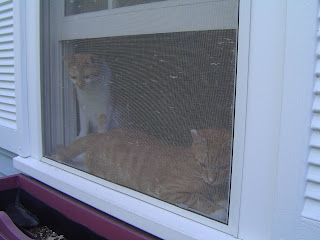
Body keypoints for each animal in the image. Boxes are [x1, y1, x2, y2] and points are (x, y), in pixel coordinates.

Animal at [57, 127, 231, 221]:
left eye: (223, 167)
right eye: (203, 164)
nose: (211, 179)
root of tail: (101, 135)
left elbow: (215, 193)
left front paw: (222, 200)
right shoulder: (165, 190)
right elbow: (196, 197)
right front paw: (219, 210)